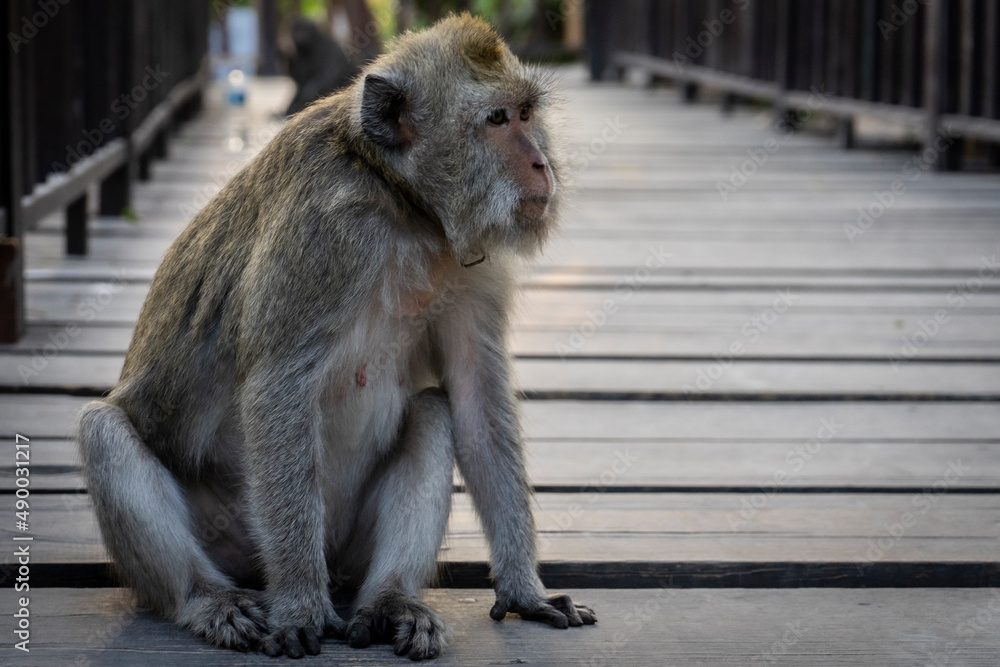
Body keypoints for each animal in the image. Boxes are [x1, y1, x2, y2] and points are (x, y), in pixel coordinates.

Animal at [80, 13, 592, 660]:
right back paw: (210, 598)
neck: (401, 204)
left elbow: (477, 399)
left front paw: (525, 589)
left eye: (526, 114)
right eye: (497, 121)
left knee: (433, 412)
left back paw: (390, 601)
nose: (541, 165)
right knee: (104, 431)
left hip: (348, 550)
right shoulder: (324, 234)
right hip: (236, 538)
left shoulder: (470, 268)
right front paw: (300, 607)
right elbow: (275, 389)